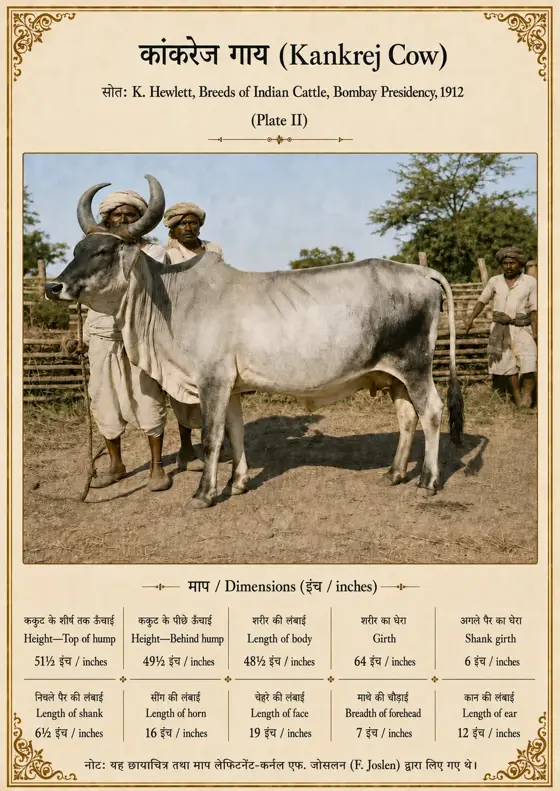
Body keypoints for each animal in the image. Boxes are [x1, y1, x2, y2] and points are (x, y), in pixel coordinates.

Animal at [46, 175, 464, 510]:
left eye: (103, 251)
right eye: (75, 251)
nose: (54, 287)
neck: (172, 296)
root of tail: (420, 272)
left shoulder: (212, 380)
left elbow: (212, 437)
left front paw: (204, 493)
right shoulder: (230, 385)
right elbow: (235, 431)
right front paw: (238, 483)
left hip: (415, 366)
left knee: (431, 412)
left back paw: (427, 482)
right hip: (393, 375)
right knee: (407, 416)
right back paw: (394, 473)